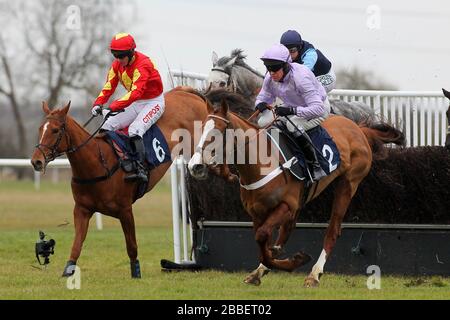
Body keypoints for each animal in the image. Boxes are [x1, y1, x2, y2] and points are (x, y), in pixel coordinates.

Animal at [29, 87, 209, 278]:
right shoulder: (82, 210)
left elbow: (131, 245)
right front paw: (68, 270)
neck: (98, 163)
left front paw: (136, 272)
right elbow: (77, 244)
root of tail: (184, 91)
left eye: (55, 130)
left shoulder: (125, 210)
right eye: (40, 129)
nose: (36, 161)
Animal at [186, 95, 404, 288]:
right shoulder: (257, 213)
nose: (195, 166)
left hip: (348, 183)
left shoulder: (286, 206)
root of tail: (358, 128)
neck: (260, 165)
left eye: (218, 132)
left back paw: (314, 274)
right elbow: (263, 243)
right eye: (200, 128)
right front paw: (263, 268)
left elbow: (263, 239)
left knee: (332, 230)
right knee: (286, 232)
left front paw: (295, 261)